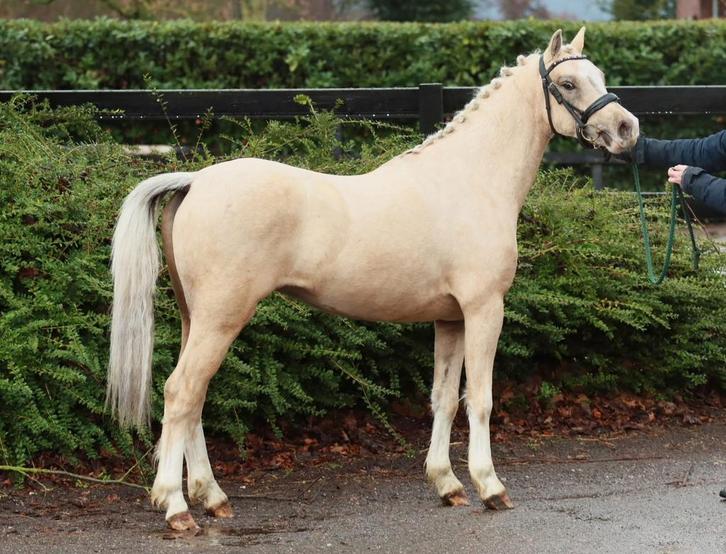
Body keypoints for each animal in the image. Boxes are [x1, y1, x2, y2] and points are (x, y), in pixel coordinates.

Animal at [107, 27, 639, 530]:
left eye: (601, 76)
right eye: (568, 84)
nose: (626, 129)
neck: (470, 179)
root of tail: (195, 179)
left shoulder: (450, 319)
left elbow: (444, 398)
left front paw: (447, 484)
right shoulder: (485, 309)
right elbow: (481, 400)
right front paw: (490, 486)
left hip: (196, 318)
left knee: (193, 397)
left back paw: (211, 497)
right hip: (221, 318)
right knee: (181, 393)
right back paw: (176, 508)